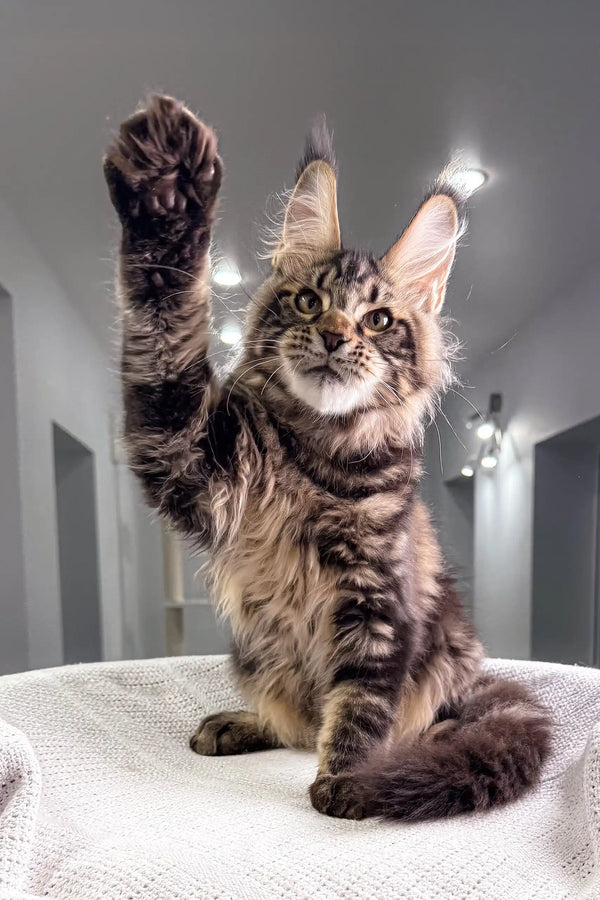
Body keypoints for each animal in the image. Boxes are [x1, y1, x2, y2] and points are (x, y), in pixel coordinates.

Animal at [103, 95, 548, 820]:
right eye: (310, 302)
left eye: (379, 320)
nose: (336, 336)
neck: (322, 459)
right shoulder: (189, 450)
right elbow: (163, 317)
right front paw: (168, 187)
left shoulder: (378, 601)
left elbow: (361, 703)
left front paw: (349, 782)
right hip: (256, 654)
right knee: (294, 723)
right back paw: (238, 724)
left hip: (441, 666)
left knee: (396, 717)